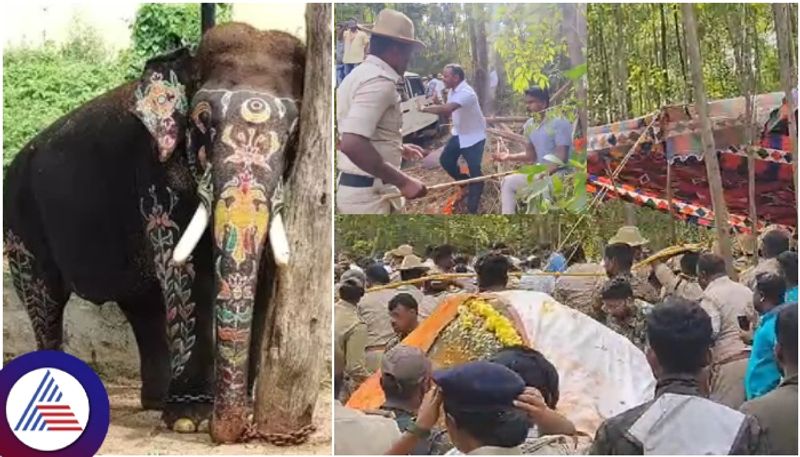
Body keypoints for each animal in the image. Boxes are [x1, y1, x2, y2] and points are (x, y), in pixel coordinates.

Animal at [3, 22, 304, 442]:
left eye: (293, 133)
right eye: (202, 120)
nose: (236, 430)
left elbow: (265, 277)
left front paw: (232, 411)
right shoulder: (157, 177)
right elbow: (185, 274)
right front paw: (191, 421)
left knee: (143, 305)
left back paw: (157, 402)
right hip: (20, 219)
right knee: (44, 299)